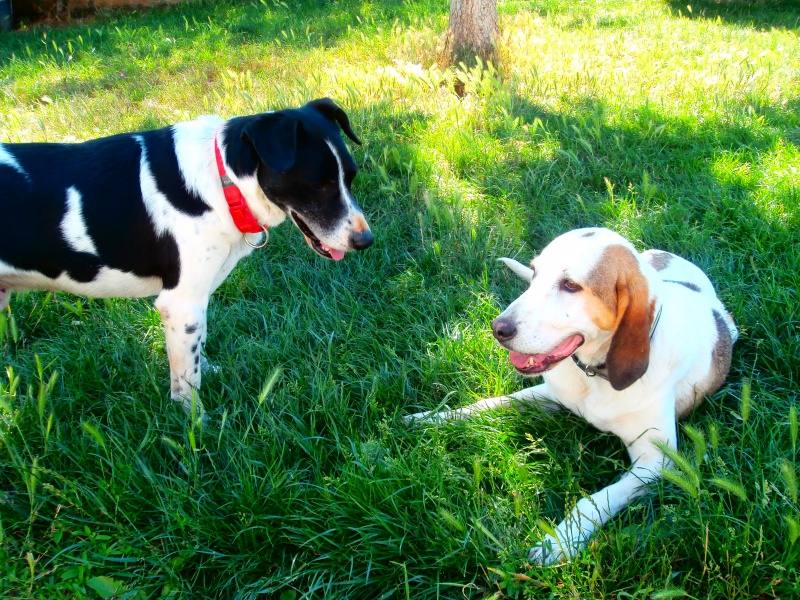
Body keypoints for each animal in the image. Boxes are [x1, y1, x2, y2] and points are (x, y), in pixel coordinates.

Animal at [0, 98, 376, 414]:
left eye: (351, 177)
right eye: (318, 184)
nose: (365, 241)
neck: (223, 183)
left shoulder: (195, 302)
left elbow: (198, 349)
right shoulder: (180, 303)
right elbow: (186, 382)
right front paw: (197, 427)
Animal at [412, 229, 736, 564]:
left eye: (570, 285)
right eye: (535, 273)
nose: (498, 328)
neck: (595, 374)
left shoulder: (658, 460)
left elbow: (597, 499)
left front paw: (560, 540)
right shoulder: (550, 394)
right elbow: (489, 404)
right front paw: (432, 418)